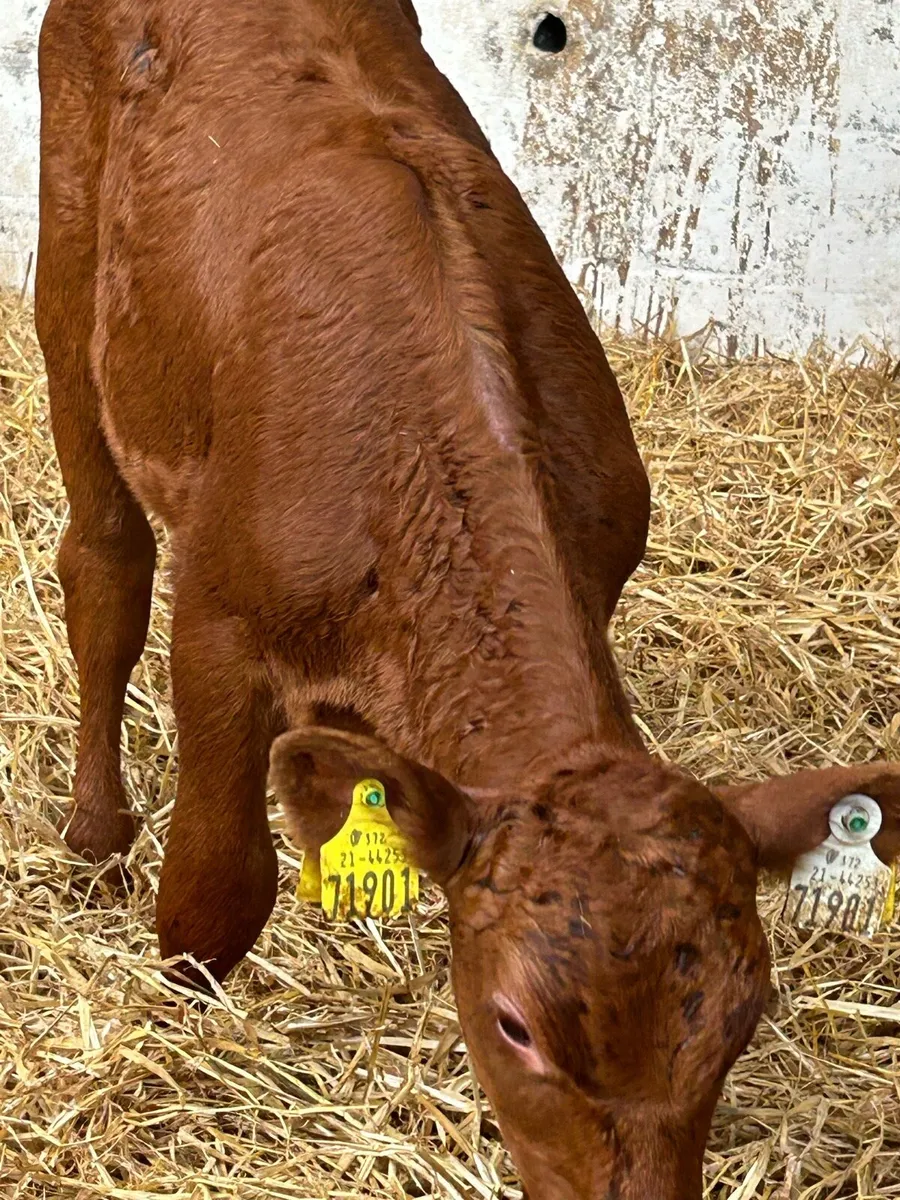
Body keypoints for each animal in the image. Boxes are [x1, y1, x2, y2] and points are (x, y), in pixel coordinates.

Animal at [35, 0, 900, 1195]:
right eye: (513, 1026)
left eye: (744, 1019)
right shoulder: (217, 628)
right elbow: (214, 897)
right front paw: (178, 1027)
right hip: (72, 268)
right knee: (104, 565)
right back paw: (95, 827)